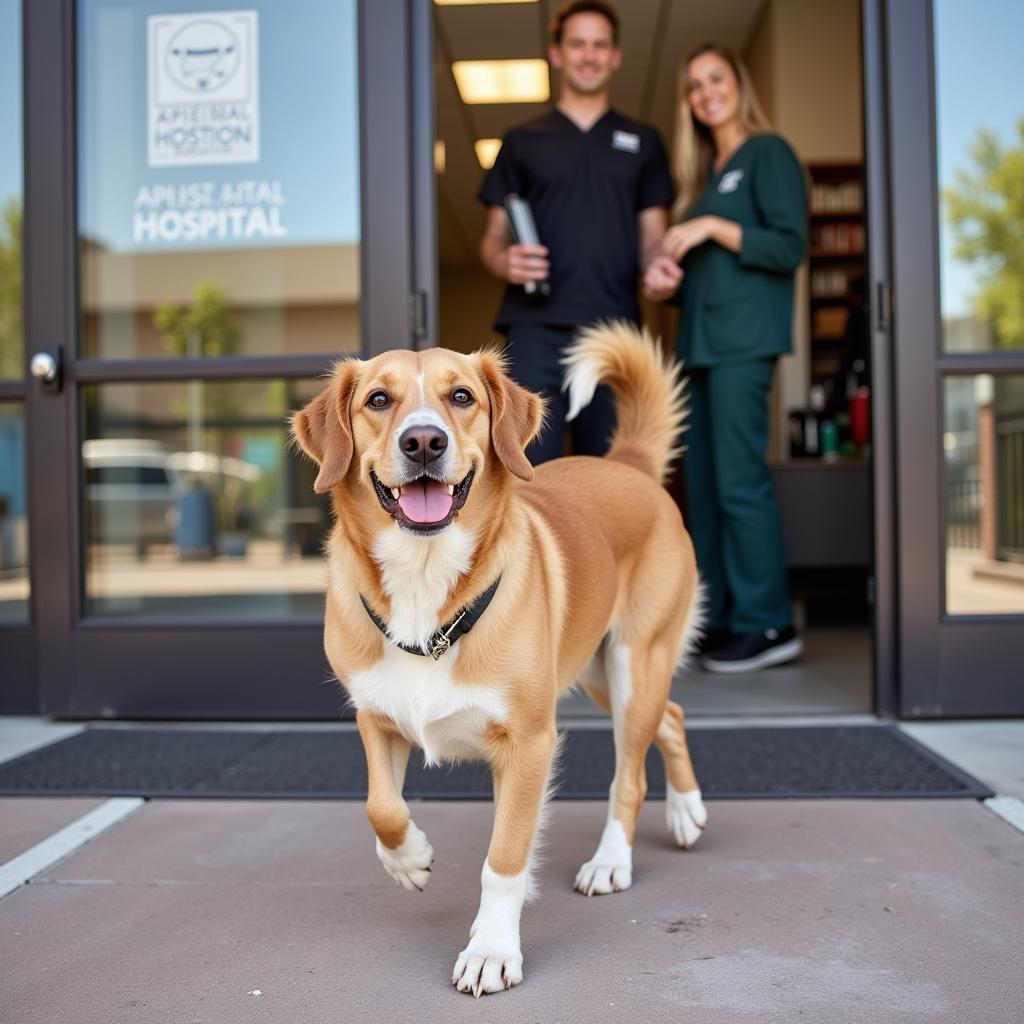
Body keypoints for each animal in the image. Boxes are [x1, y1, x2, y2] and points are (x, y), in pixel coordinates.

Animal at [290, 321, 704, 999]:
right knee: (671, 715)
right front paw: (409, 859)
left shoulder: (530, 744)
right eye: (378, 400)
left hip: (633, 663)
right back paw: (687, 810)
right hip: (597, 671)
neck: (425, 578)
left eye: (461, 396)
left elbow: (504, 860)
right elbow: (381, 807)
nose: (423, 441)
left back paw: (611, 860)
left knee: (632, 772)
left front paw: (490, 950)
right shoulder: (375, 716)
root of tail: (627, 464)